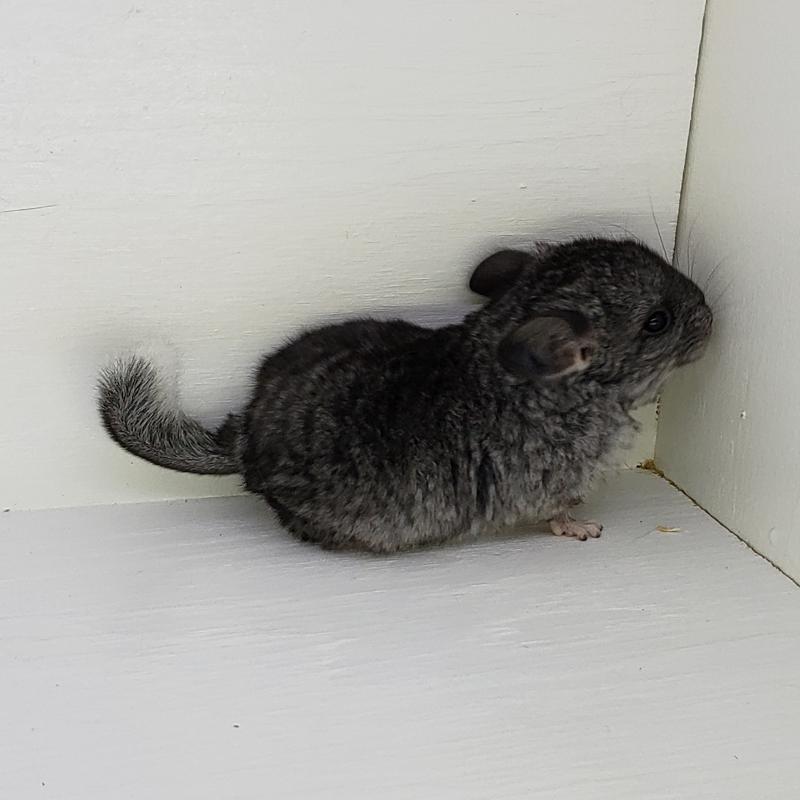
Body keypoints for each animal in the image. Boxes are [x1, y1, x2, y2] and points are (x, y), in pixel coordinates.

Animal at [98, 237, 712, 552]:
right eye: (657, 322)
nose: (711, 313)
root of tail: (244, 437)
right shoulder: (547, 484)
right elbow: (558, 512)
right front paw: (585, 527)